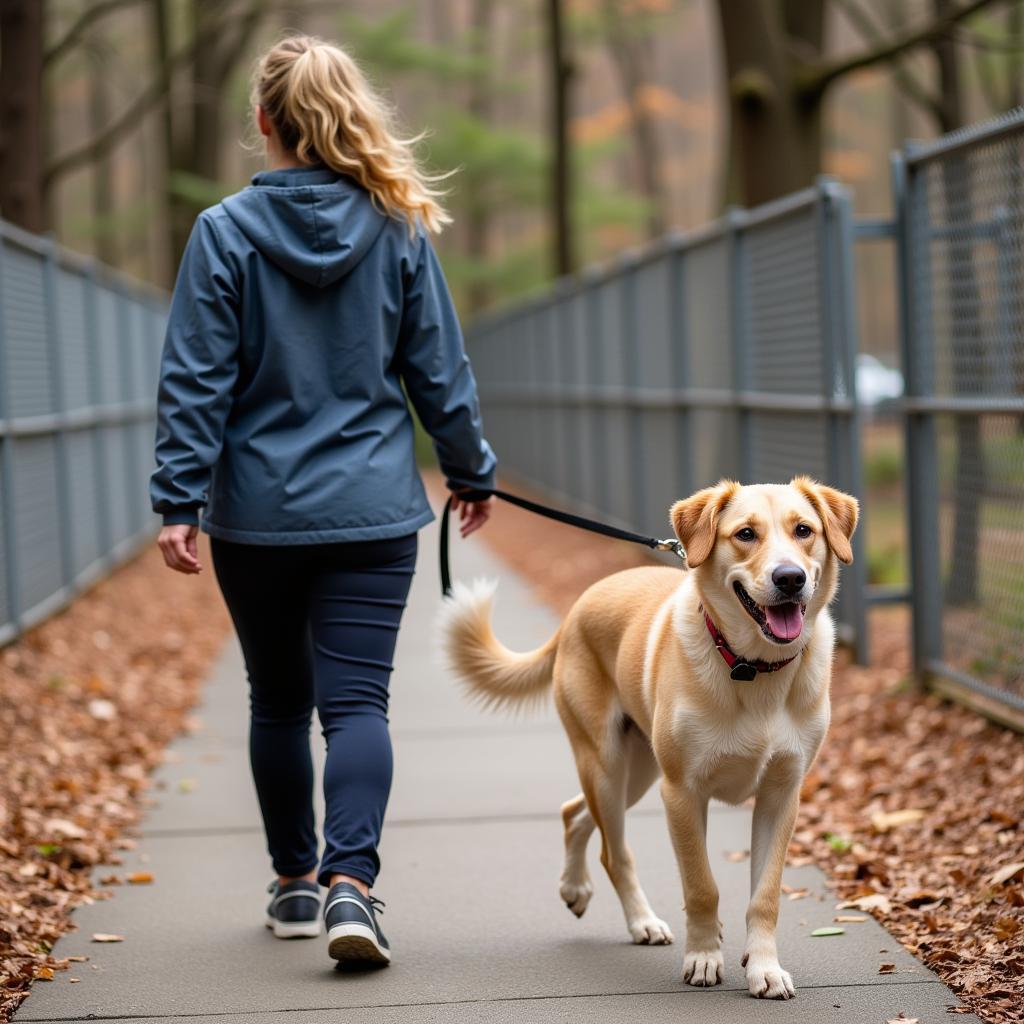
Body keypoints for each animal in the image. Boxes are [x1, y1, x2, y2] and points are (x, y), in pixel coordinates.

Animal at [438, 477, 856, 999]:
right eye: (745, 534)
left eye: (804, 531)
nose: (790, 578)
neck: (752, 667)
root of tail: (579, 606)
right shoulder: (682, 793)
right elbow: (702, 885)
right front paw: (703, 958)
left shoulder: (782, 795)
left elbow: (765, 895)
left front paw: (764, 968)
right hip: (608, 766)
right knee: (613, 851)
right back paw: (641, 921)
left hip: (637, 772)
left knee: (573, 813)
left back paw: (575, 889)